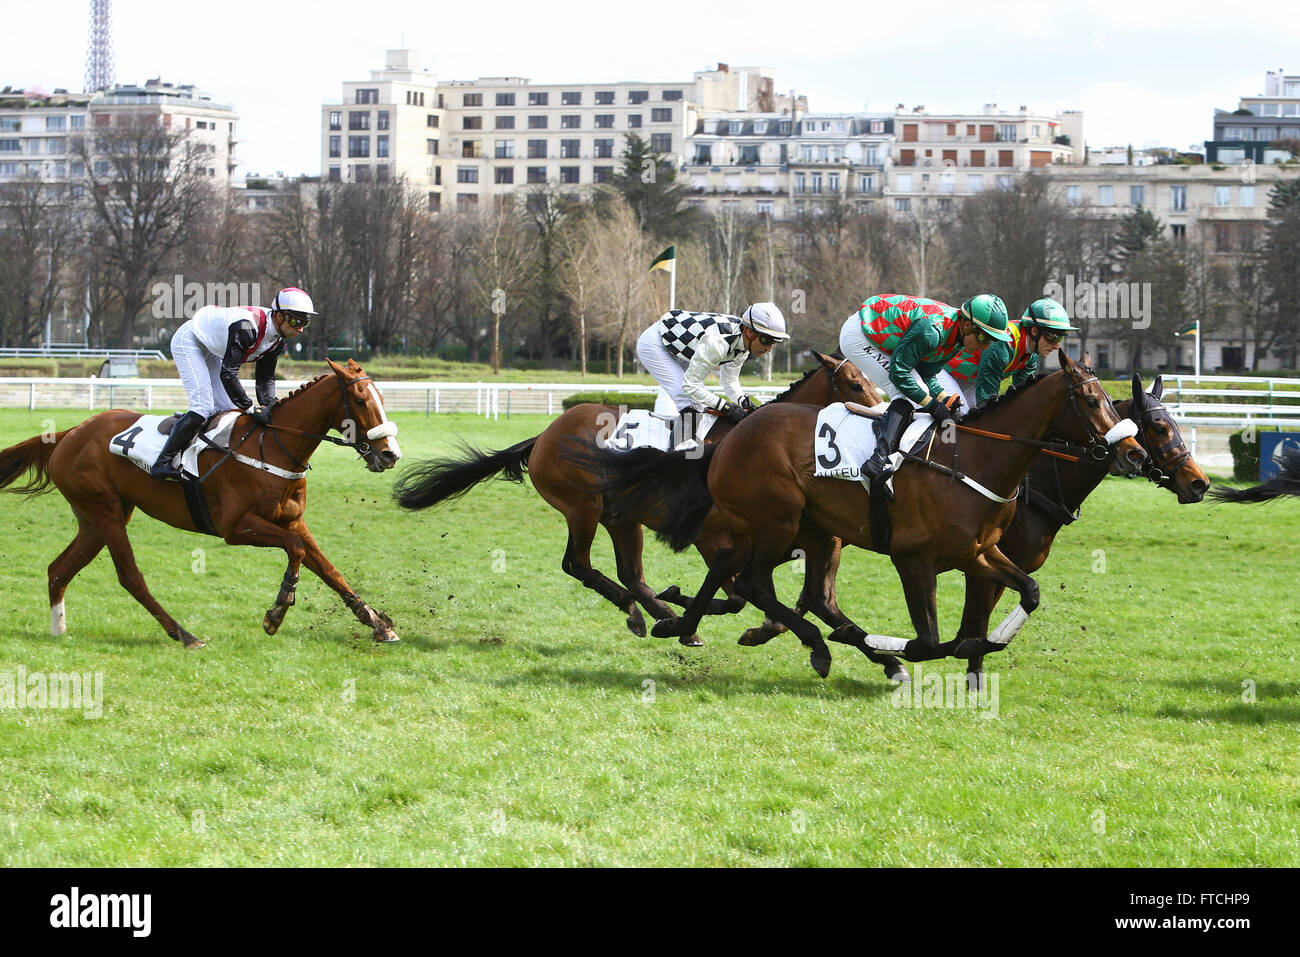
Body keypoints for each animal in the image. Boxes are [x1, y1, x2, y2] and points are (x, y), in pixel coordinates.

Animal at [0, 358, 400, 650]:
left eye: (382, 398)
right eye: (361, 401)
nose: (390, 454)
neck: (272, 445)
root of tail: (69, 433)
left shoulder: (291, 520)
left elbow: (329, 569)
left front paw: (378, 624)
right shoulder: (235, 528)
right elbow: (296, 549)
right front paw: (278, 610)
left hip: (96, 518)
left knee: (58, 569)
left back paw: (59, 630)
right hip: (106, 513)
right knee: (130, 577)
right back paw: (185, 635)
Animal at [585, 348, 1144, 670]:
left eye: (1110, 399)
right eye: (1091, 401)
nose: (1133, 451)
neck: (974, 462)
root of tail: (731, 437)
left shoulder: (979, 553)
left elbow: (1026, 594)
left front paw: (984, 643)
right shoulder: (914, 560)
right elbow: (933, 640)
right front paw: (905, 649)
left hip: (810, 530)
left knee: (788, 588)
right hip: (778, 520)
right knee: (756, 584)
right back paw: (820, 644)